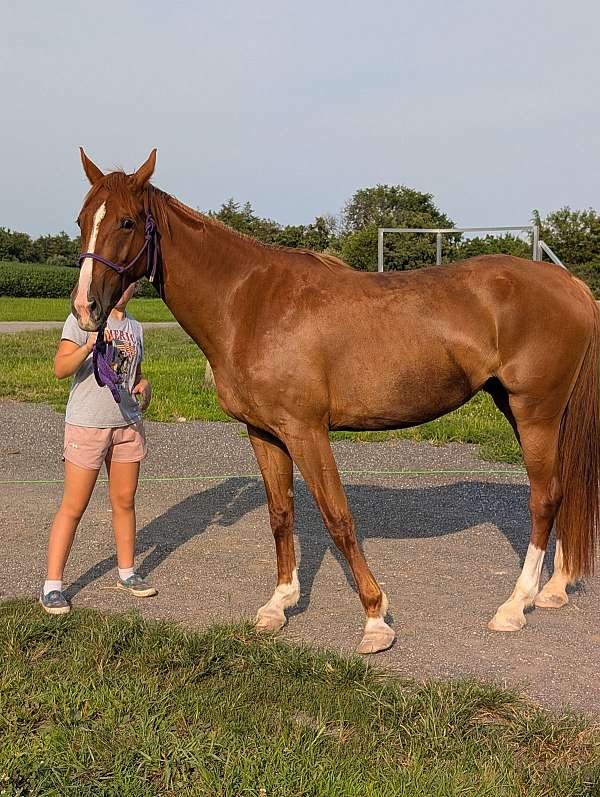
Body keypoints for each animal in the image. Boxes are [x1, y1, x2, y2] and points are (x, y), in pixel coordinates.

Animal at [71, 149, 599, 654]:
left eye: (127, 222)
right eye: (81, 220)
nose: (85, 309)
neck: (249, 304)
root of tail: (568, 284)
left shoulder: (307, 432)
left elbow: (337, 518)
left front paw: (375, 619)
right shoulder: (264, 433)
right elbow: (281, 515)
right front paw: (279, 604)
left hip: (535, 413)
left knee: (545, 498)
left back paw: (515, 605)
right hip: (524, 410)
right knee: (563, 490)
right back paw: (554, 589)